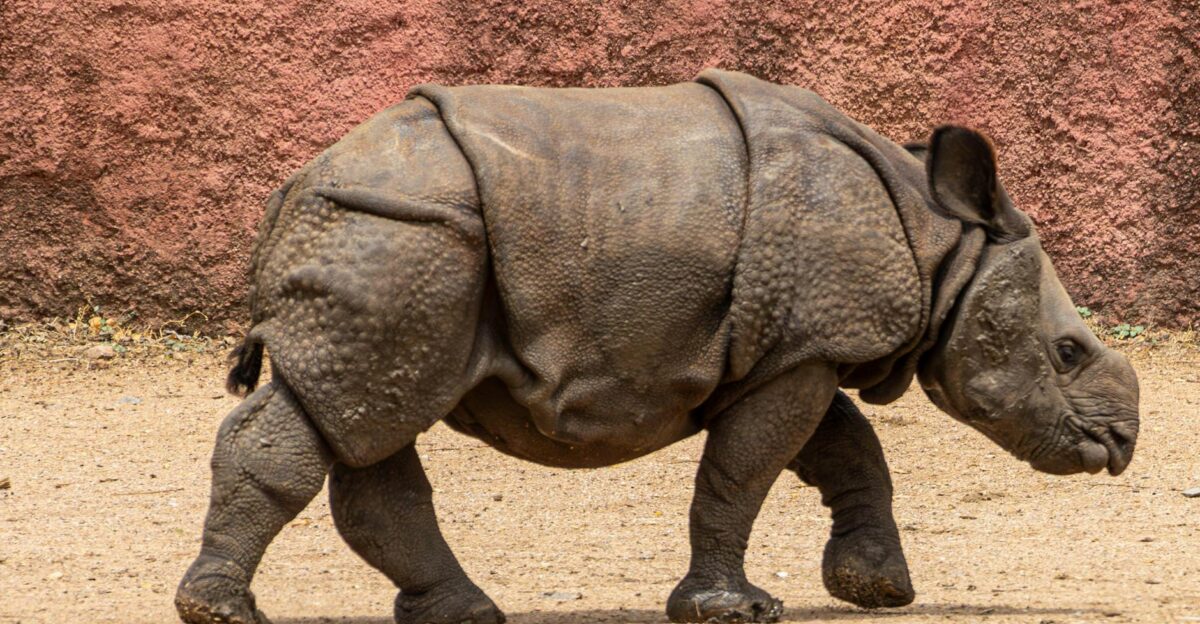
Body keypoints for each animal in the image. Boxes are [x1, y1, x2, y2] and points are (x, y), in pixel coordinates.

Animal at [176, 69, 1140, 624]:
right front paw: (734, 609)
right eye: (1067, 352)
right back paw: (223, 613)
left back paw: (463, 613)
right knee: (350, 411)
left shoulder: (796, 344)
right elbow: (745, 471)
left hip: (400, 244)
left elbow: (847, 451)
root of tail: (293, 188)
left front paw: (879, 590)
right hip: (401, 234)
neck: (942, 243)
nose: (1122, 443)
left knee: (369, 417)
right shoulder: (805, 345)